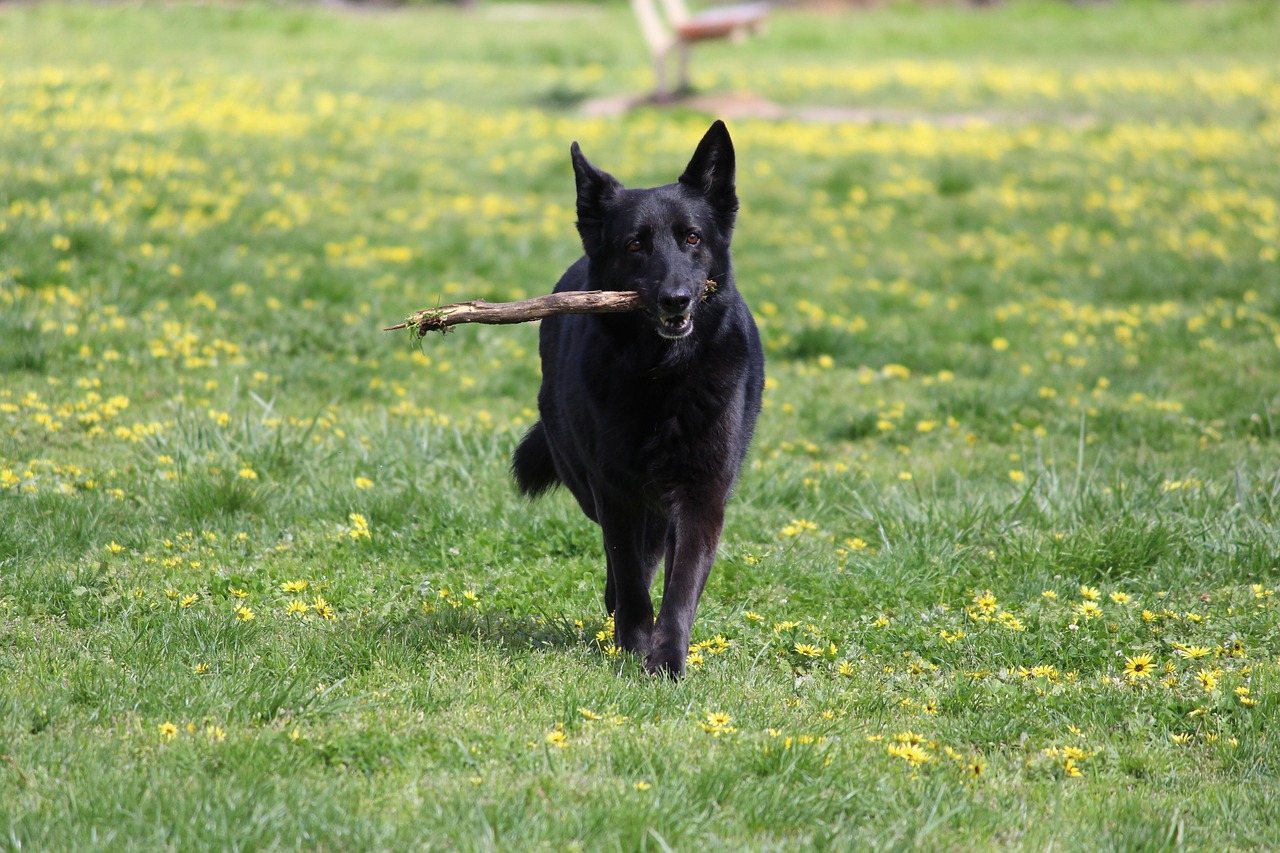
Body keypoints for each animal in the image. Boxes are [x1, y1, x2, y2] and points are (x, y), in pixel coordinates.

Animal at [512, 121, 768, 676]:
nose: (676, 299)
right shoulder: (613, 489)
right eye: (634, 245)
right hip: (583, 480)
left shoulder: (702, 496)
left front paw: (666, 659)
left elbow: (682, 582)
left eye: (692, 238)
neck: (662, 378)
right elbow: (629, 570)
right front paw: (632, 643)